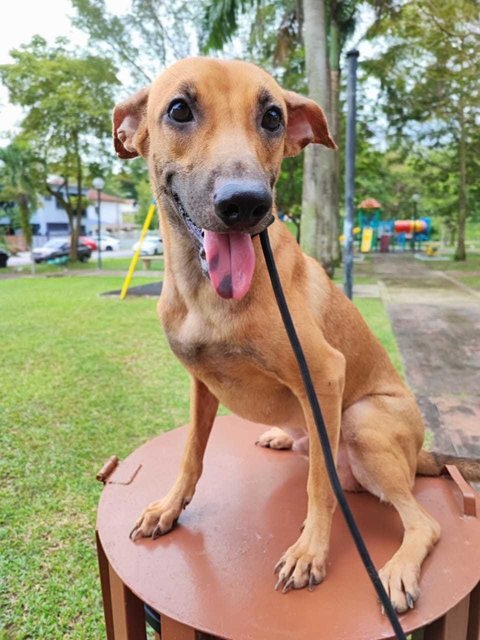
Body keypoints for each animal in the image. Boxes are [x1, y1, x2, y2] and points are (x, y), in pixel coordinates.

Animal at [113, 58, 480, 616]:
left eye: (272, 117)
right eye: (178, 110)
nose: (247, 204)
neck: (204, 293)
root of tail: (420, 455)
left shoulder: (324, 372)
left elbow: (318, 489)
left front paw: (312, 551)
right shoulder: (201, 384)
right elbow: (192, 455)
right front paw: (170, 508)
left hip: (362, 423)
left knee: (422, 521)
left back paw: (398, 569)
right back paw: (284, 434)